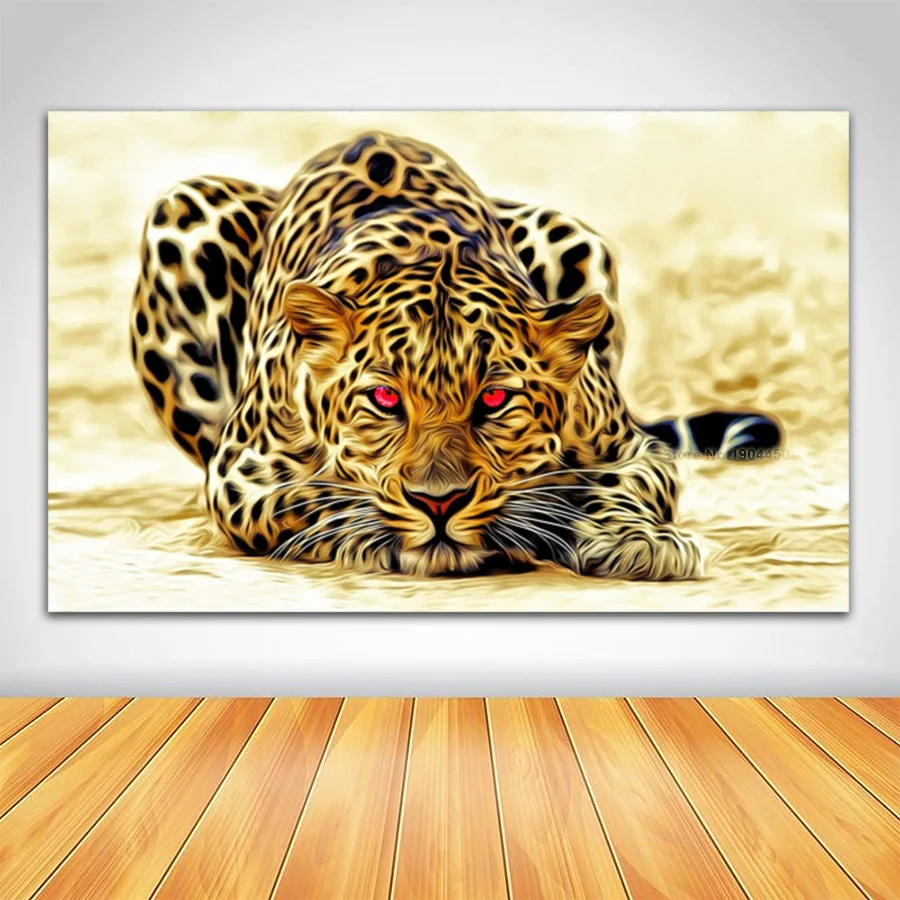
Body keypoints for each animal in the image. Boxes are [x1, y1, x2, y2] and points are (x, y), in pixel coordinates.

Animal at [130, 131, 782, 579]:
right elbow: (313, 498)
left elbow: (616, 485)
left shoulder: (631, 448)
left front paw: (637, 540)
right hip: (182, 210)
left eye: (494, 399)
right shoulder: (241, 470)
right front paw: (377, 534)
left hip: (571, 233)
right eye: (385, 398)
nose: (438, 502)